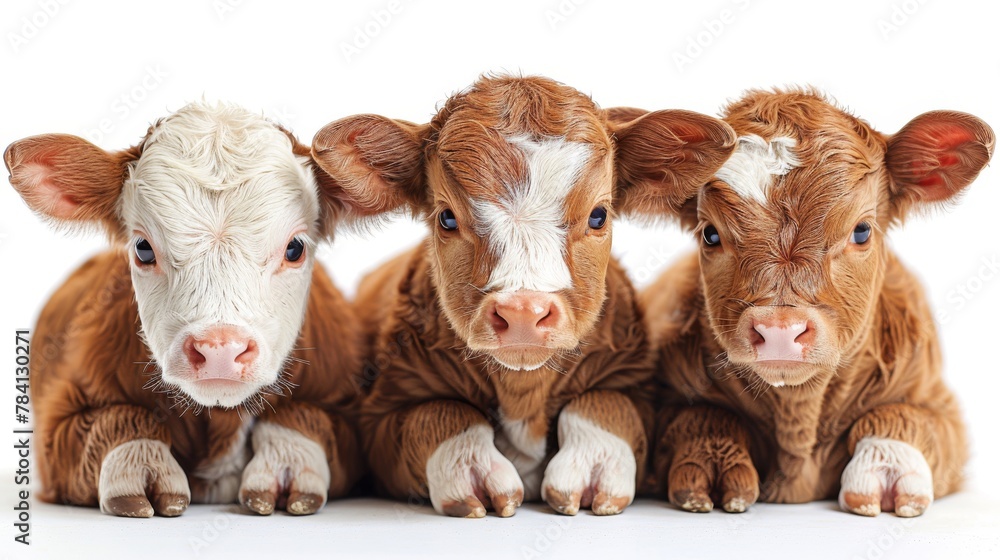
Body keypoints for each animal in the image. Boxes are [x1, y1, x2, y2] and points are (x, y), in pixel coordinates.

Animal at [5, 101, 373, 517]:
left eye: (295, 248)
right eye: (143, 248)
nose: (220, 350)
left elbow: (305, 415)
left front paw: (289, 462)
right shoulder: (54, 431)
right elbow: (118, 418)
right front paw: (140, 465)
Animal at [309, 75, 737, 517]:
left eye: (598, 215)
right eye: (446, 217)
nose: (523, 313)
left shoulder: (636, 385)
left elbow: (606, 404)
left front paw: (594, 467)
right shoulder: (381, 414)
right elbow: (439, 413)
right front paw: (471, 470)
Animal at [644, 88, 994, 517]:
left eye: (861, 230)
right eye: (710, 234)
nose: (779, 331)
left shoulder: (941, 407)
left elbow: (903, 416)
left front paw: (886, 465)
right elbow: (702, 416)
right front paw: (710, 460)